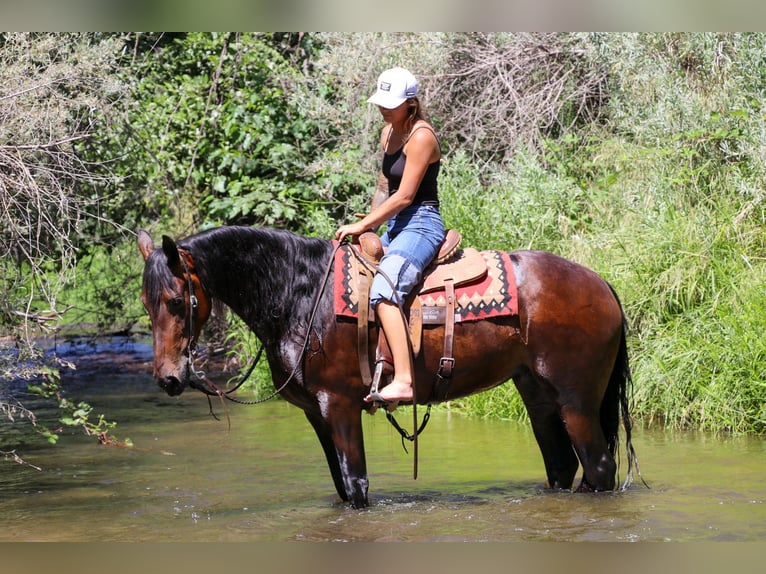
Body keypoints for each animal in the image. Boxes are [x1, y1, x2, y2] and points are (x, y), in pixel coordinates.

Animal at [137, 225, 640, 509]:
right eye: (146, 302)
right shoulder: (315, 415)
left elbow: (357, 486)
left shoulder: (339, 406)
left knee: (598, 467)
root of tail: (601, 284)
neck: (301, 296)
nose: (168, 378)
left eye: (177, 301)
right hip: (537, 396)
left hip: (577, 401)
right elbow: (343, 489)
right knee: (562, 467)